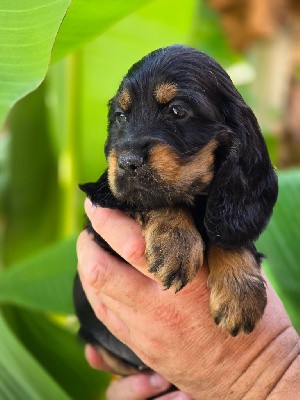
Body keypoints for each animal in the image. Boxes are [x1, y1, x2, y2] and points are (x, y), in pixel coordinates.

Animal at [73, 44, 278, 376]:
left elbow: (227, 231)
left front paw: (239, 291)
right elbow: (158, 199)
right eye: (120, 116)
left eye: (177, 111)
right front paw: (175, 243)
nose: (126, 163)